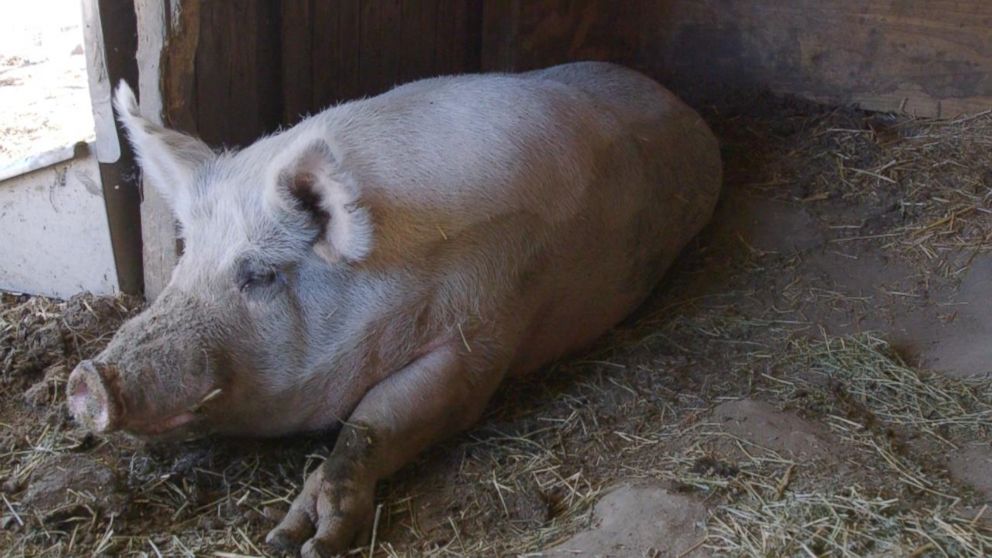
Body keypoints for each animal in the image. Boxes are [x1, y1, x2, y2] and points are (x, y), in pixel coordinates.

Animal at [66, 62, 721, 556]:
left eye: (259, 275)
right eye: (186, 258)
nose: (87, 378)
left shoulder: (486, 329)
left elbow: (377, 419)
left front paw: (301, 542)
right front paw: (287, 539)